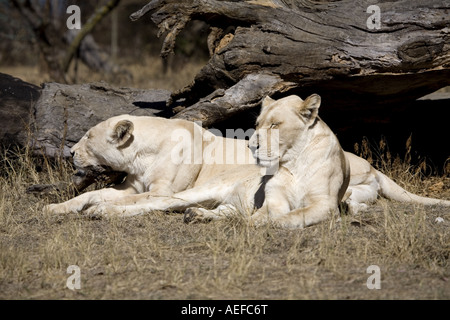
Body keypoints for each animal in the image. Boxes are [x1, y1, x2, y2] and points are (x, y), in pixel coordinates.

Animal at [45, 94, 450, 229]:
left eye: (86, 137)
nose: (70, 152)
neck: (140, 156)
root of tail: (372, 165)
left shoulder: (158, 188)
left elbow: (141, 199)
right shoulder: (128, 185)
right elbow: (89, 195)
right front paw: (56, 208)